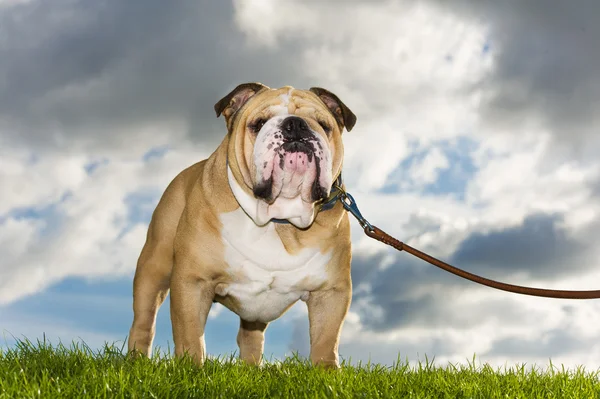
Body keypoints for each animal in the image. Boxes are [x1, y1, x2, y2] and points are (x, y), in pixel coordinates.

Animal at [127, 83, 356, 370]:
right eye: (258, 124)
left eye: (324, 126)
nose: (295, 125)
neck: (278, 219)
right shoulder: (193, 281)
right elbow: (190, 335)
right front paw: (191, 370)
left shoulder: (331, 292)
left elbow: (326, 342)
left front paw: (326, 374)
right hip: (153, 269)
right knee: (144, 320)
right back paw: (135, 361)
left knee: (250, 336)